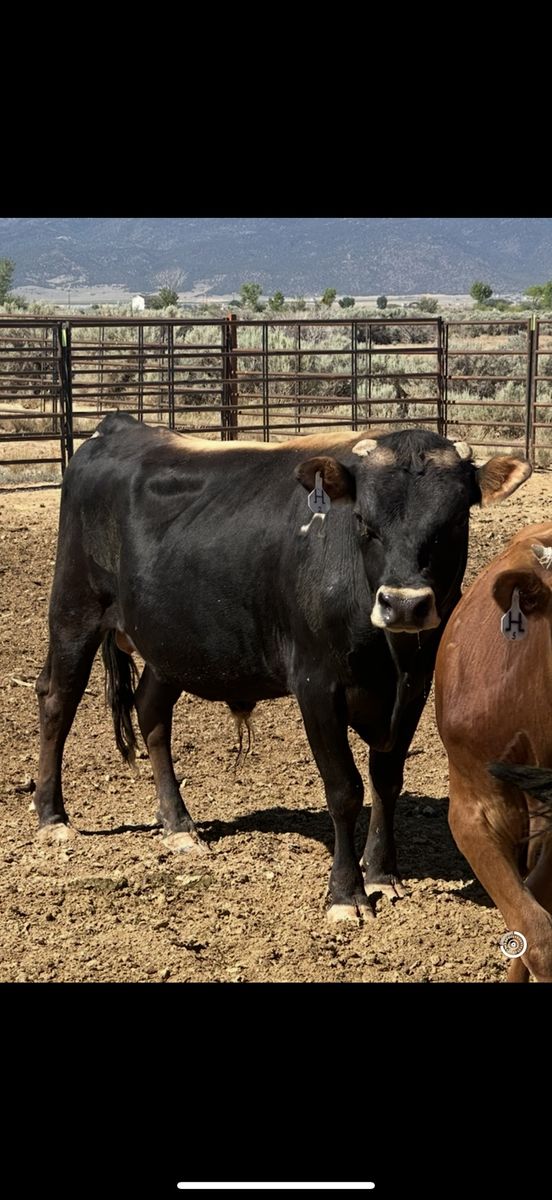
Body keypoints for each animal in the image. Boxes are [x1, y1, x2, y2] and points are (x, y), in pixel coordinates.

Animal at [35, 413, 531, 920]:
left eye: (454, 521)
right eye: (363, 521)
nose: (404, 605)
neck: (388, 655)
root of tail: (116, 427)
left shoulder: (413, 687)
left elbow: (386, 780)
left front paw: (382, 874)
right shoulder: (317, 686)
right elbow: (345, 789)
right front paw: (346, 894)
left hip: (170, 644)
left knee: (151, 711)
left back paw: (178, 825)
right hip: (75, 611)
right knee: (57, 700)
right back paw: (53, 817)